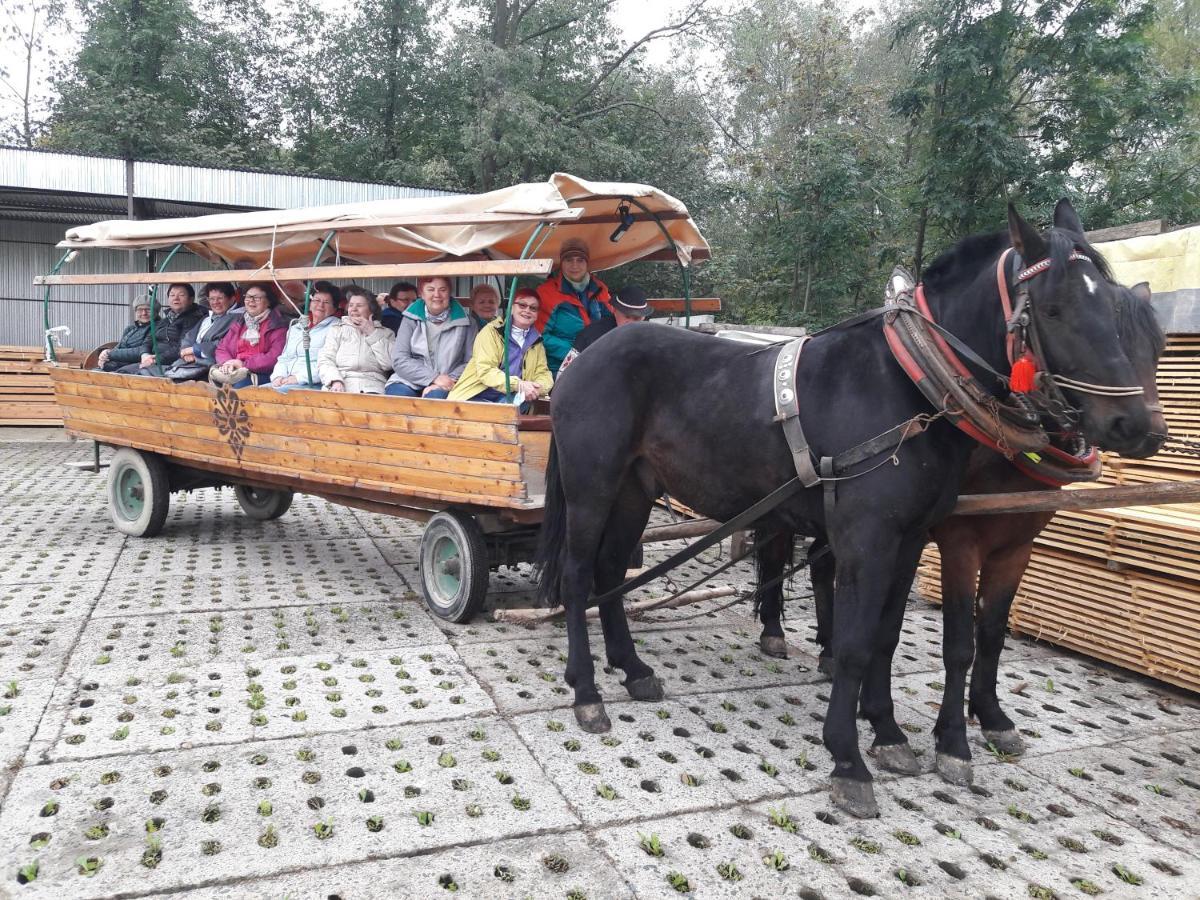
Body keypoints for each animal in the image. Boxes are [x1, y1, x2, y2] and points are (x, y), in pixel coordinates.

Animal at [540, 200, 1156, 820]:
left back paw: (633, 668)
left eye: (1115, 306)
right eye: (1054, 308)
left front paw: (887, 732)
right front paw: (849, 758)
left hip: (635, 489)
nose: (1138, 427)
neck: (909, 388)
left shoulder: (912, 539)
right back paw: (587, 691)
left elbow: (886, 636)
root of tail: (581, 360)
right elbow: (857, 644)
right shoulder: (870, 539)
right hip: (593, 485)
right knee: (577, 575)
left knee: (611, 570)